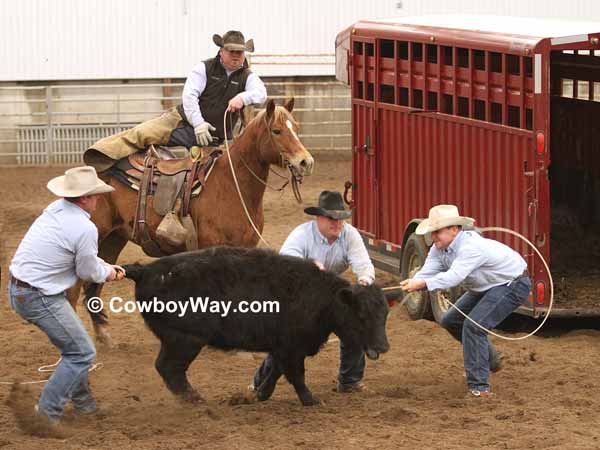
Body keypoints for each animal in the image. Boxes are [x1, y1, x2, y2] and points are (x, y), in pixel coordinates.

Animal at [67, 98, 314, 344]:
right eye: (277, 130)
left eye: (297, 128)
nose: (305, 162)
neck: (231, 185)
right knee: (74, 289)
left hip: (113, 238)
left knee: (95, 283)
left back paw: (103, 335)